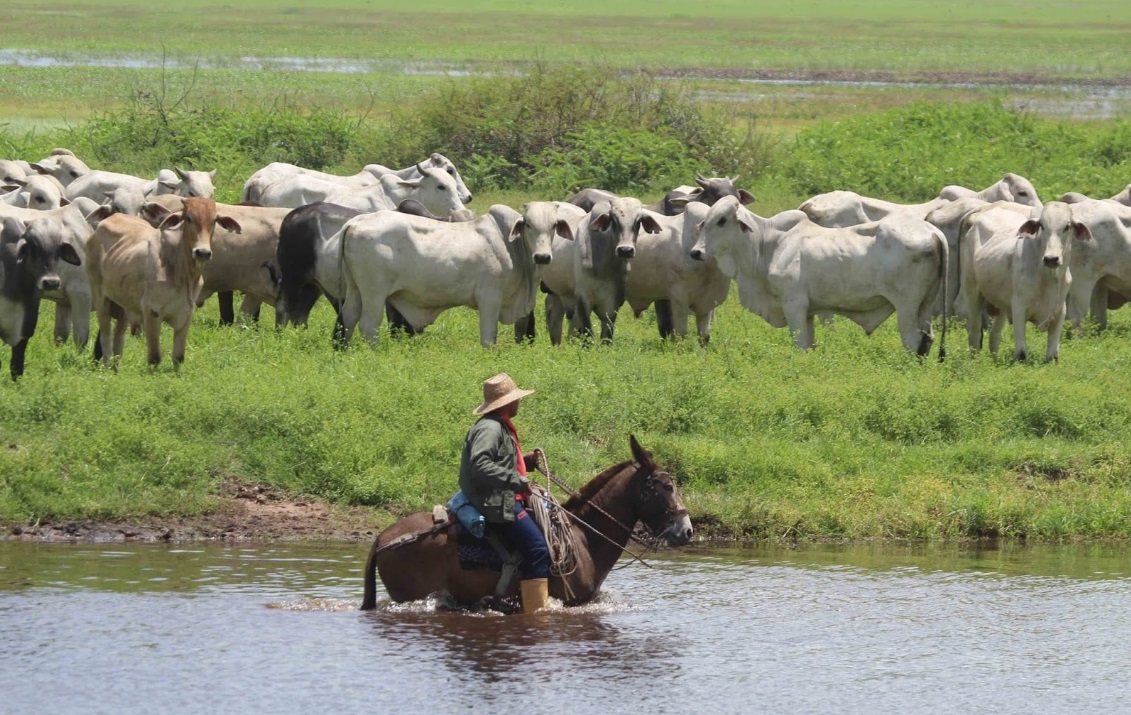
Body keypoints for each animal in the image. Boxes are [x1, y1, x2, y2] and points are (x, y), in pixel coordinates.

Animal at [85, 195, 240, 366]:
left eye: (214, 220)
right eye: (188, 218)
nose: (203, 252)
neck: (182, 273)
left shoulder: (186, 313)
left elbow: (178, 357)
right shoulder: (152, 312)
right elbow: (154, 358)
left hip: (124, 304)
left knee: (119, 336)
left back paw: (115, 367)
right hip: (100, 297)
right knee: (105, 335)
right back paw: (106, 365)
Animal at [337, 203, 545, 346]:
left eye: (551, 227)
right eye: (528, 225)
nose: (543, 256)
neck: (509, 244)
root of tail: (355, 222)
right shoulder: (490, 297)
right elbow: (489, 337)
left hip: (355, 289)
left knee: (347, 319)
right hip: (374, 292)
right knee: (368, 325)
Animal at [687, 195, 945, 355]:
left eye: (721, 220)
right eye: (705, 221)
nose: (695, 252)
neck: (768, 244)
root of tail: (933, 233)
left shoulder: (794, 304)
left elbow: (800, 344)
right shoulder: (810, 311)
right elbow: (810, 346)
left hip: (906, 306)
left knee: (912, 341)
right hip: (926, 305)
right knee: (927, 339)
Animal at [963, 201, 1085, 359]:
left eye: (1067, 226)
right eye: (1042, 225)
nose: (1051, 259)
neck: (1049, 278)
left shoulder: (1059, 311)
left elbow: (1052, 355)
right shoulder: (1018, 308)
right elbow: (1021, 352)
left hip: (1002, 302)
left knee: (995, 336)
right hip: (972, 291)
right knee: (975, 333)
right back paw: (974, 359)